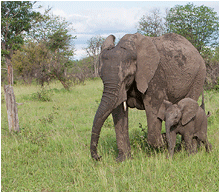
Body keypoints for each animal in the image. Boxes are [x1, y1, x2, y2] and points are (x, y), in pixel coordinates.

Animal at [90, 32, 206, 161]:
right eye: (101, 77)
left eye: (128, 76)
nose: (99, 157)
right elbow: (118, 111)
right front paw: (123, 160)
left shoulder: (155, 76)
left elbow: (154, 109)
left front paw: (163, 141)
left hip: (199, 76)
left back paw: (182, 149)